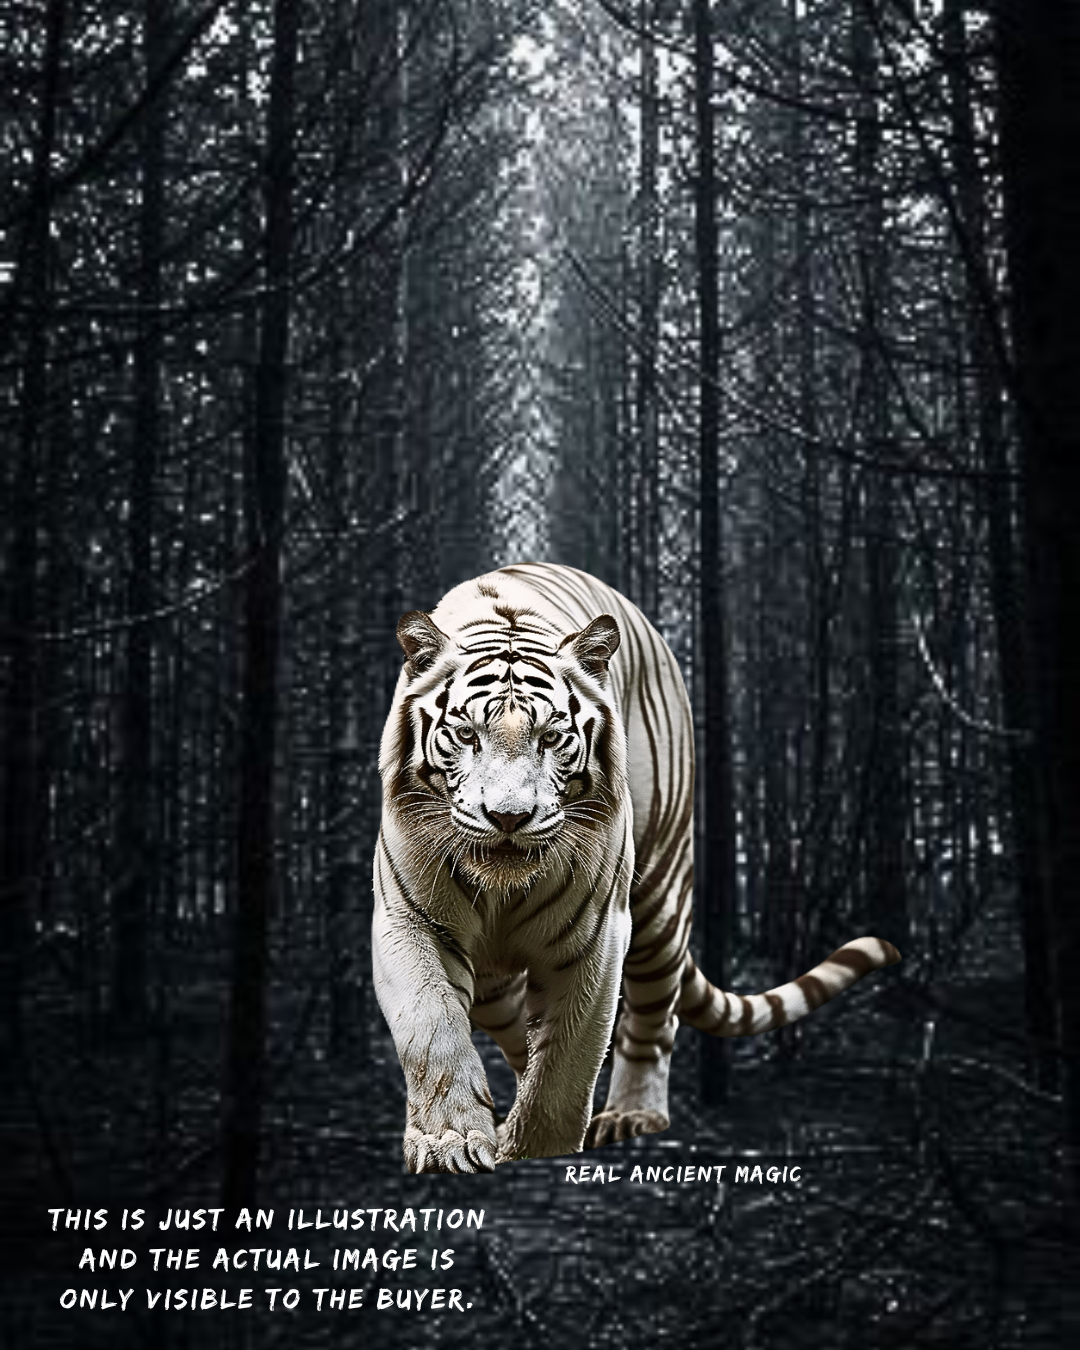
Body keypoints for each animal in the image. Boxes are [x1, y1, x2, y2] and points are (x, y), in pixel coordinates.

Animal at [373, 563, 900, 1173]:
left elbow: (564, 1067)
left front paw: (540, 1150)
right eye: (466, 735)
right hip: (497, 985)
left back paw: (633, 1114)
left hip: (661, 899)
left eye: (551, 737)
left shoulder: (595, 937)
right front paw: (450, 1143)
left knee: (653, 1015)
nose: (508, 817)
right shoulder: (408, 922)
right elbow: (433, 1031)